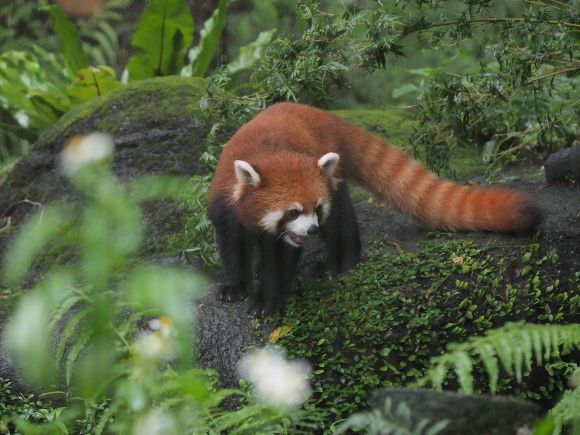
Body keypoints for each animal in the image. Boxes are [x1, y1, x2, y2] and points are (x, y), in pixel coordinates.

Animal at [208, 104, 544, 318]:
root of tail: (321, 114)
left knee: (341, 222)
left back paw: (337, 263)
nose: (312, 229)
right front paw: (234, 286)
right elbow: (232, 247)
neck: (270, 152)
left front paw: (267, 299)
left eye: (315, 209)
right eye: (292, 212)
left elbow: (281, 258)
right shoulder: (225, 205)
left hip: (334, 179)